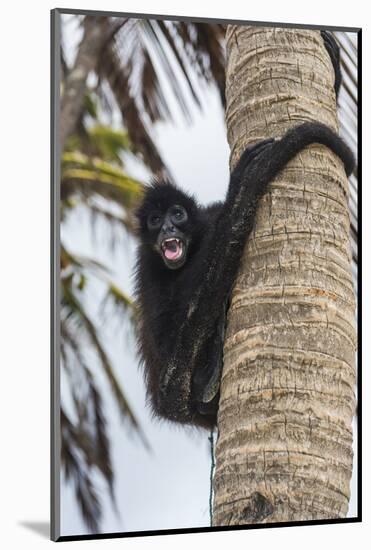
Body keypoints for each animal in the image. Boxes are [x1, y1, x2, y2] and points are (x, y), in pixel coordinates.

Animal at [134, 33, 354, 432]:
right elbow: (170, 341)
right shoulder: (148, 263)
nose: (169, 228)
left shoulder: (205, 217)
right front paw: (242, 181)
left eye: (177, 214)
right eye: (156, 220)